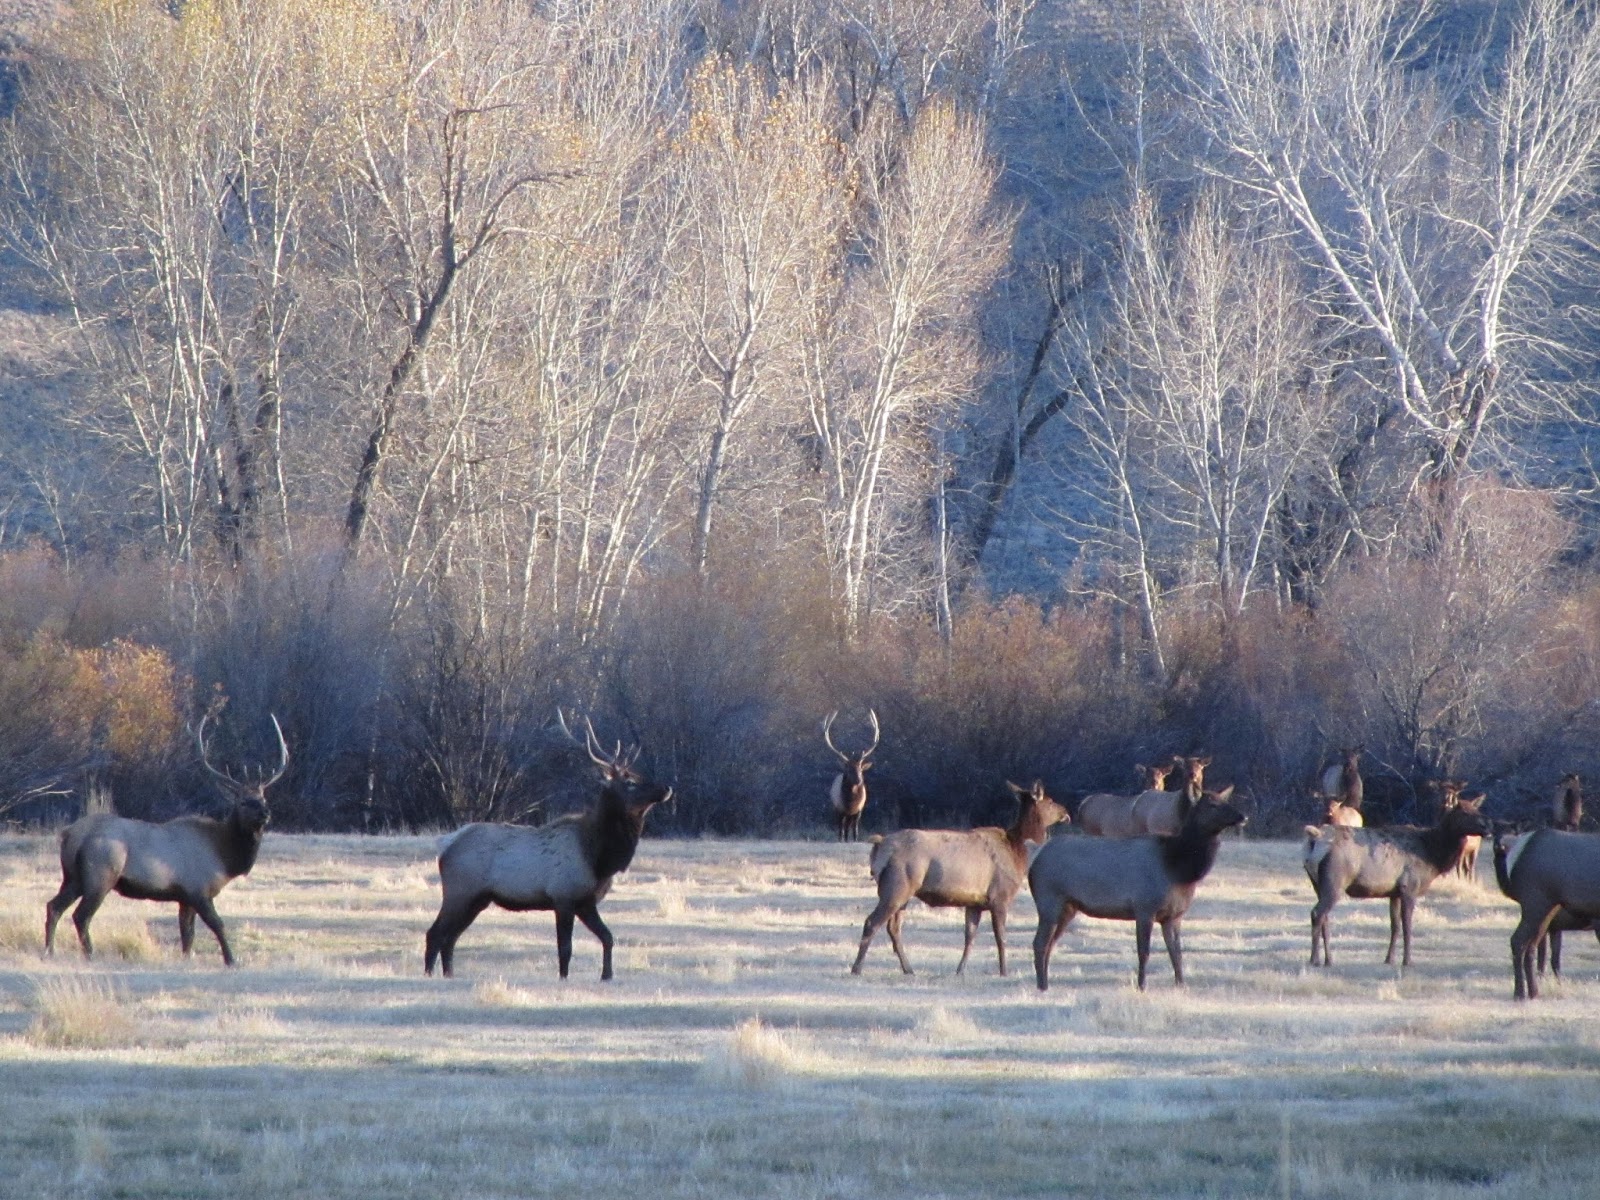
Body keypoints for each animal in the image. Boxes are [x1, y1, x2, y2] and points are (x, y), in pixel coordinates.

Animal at [44, 710, 287, 966]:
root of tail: (69, 835)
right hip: (99, 875)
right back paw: (89, 954)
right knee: (80, 915)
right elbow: (217, 925)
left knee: (54, 906)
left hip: (73, 877)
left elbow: (187, 936)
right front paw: (231, 960)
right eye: (243, 802)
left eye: (263, 799)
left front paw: (187, 959)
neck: (224, 857)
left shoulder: (185, 898)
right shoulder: (198, 890)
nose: (266, 813)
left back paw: (49, 951)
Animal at [824, 709, 879, 842]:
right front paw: (841, 840)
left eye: (861, 769)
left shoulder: (859, 811)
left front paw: (854, 840)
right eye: (848, 769)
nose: (859, 780)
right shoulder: (839, 809)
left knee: (849, 827)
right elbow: (841, 831)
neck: (850, 805)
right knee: (843, 828)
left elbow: (855, 831)